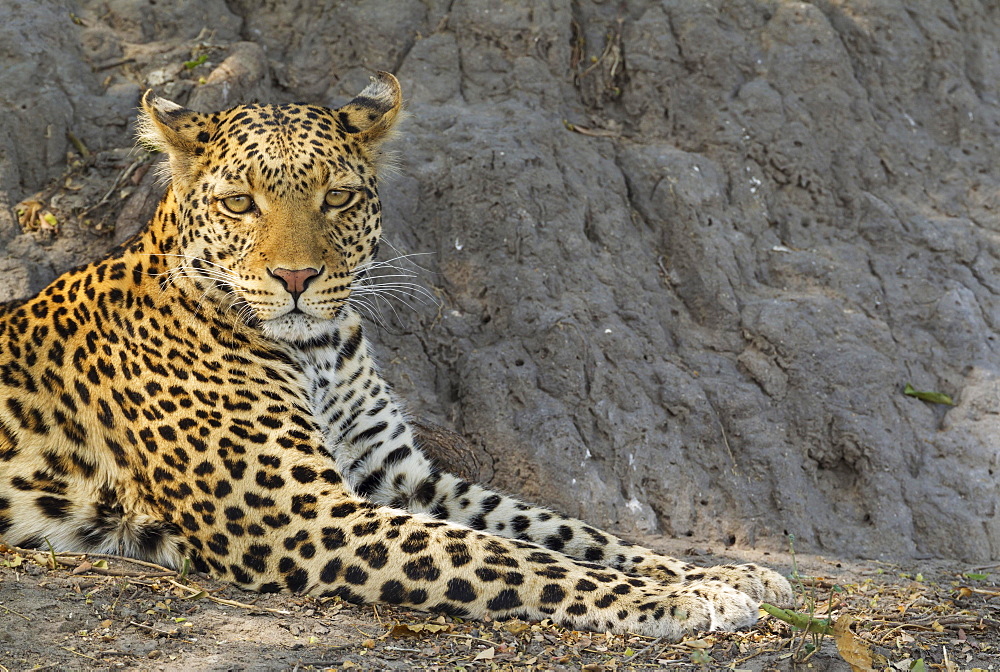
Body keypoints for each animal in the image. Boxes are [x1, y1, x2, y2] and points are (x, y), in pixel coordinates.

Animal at [0, 71, 792, 636]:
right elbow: (509, 555)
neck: (316, 351)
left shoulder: (398, 475)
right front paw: (685, 598)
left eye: (338, 198)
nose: (296, 279)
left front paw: (715, 574)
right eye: (239, 204)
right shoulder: (302, 515)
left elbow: (557, 527)